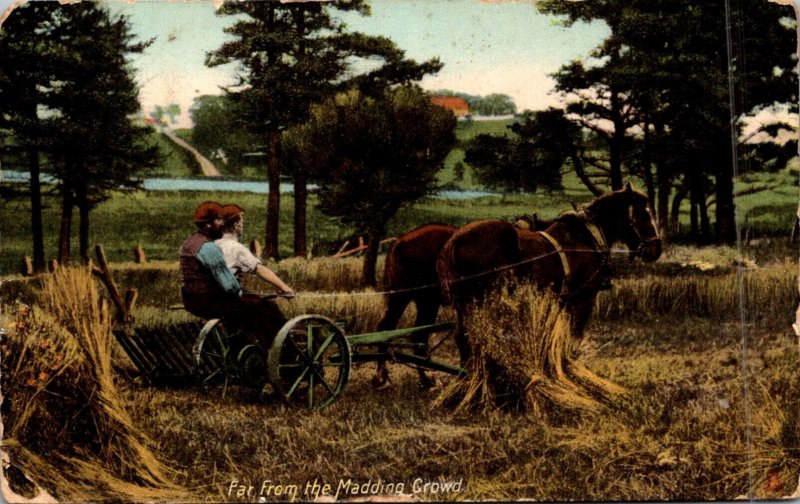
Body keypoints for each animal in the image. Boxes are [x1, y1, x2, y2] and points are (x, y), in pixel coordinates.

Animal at [438, 183, 664, 364]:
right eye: (644, 214)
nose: (657, 249)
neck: (586, 239)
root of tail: (455, 240)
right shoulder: (582, 300)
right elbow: (573, 339)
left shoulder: (562, 301)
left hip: (466, 304)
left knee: (463, 338)